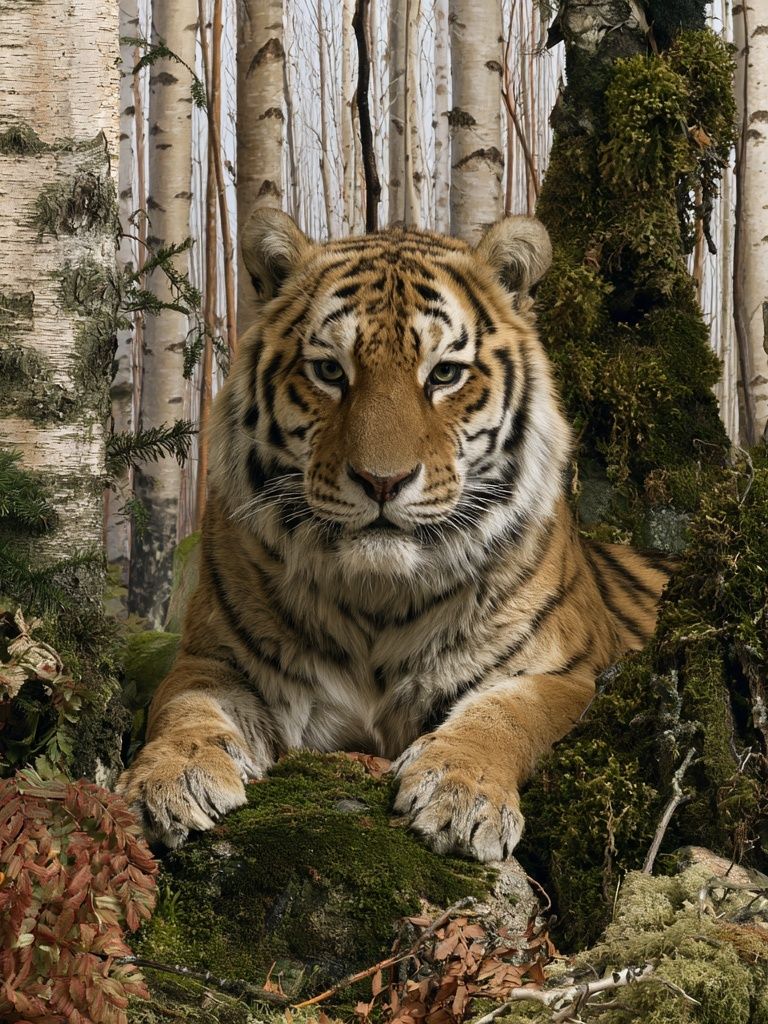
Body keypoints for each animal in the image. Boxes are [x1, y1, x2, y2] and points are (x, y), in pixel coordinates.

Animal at [116, 209, 673, 860]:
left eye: (445, 374)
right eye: (330, 371)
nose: (382, 481)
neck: (377, 599)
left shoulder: (567, 674)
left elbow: (507, 714)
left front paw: (462, 794)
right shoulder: (216, 659)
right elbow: (184, 707)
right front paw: (166, 782)